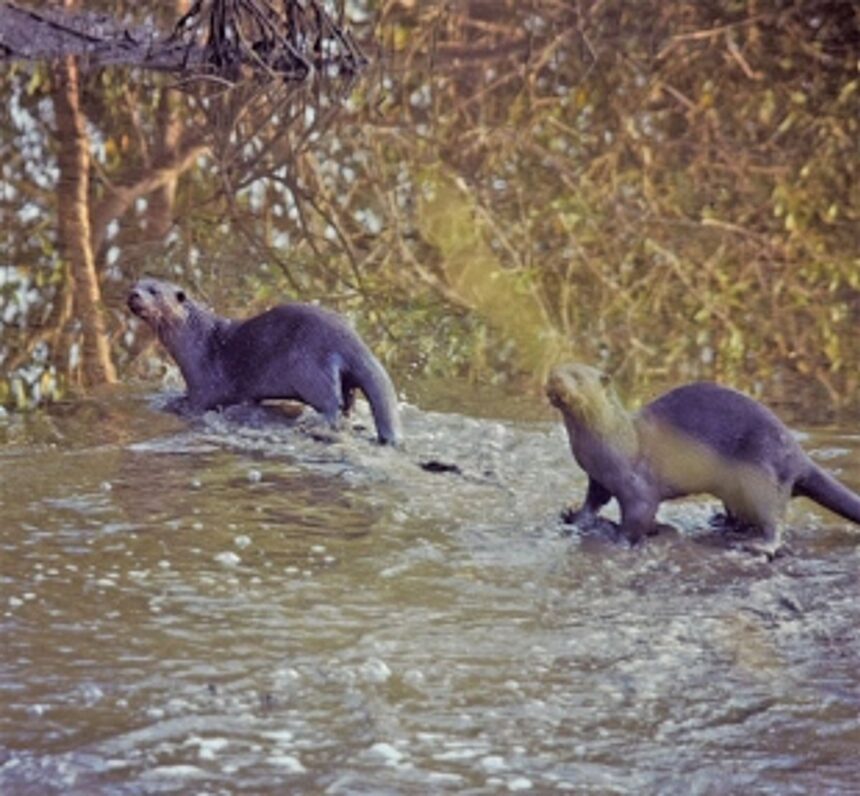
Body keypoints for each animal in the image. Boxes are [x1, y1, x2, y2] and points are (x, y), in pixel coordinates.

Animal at [127, 278, 402, 445]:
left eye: (154, 291)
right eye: (136, 284)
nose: (133, 294)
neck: (199, 340)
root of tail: (352, 339)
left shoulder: (205, 382)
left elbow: (199, 402)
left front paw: (176, 403)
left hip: (311, 370)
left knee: (331, 405)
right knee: (347, 403)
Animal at [546, 363, 860, 553]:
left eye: (577, 376)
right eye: (556, 369)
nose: (554, 377)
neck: (615, 441)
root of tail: (796, 453)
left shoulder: (637, 485)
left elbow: (639, 515)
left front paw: (620, 539)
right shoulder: (597, 478)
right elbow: (593, 502)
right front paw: (575, 516)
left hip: (762, 471)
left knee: (774, 517)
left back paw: (761, 546)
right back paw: (723, 522)